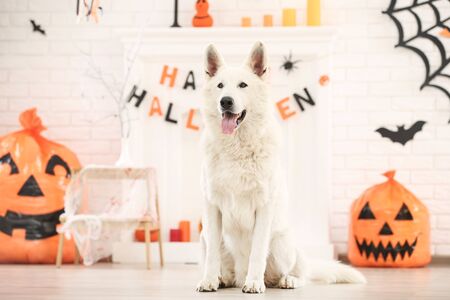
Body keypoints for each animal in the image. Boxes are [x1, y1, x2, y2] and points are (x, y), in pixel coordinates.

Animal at [197, 41, 366, 292]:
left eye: (243, 85)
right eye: (220, 86)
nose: (225, 101)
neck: (237, 148)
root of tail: (239, 274)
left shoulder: (263, 207)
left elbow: (258, 252)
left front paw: (254, 283)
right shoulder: (212, 207)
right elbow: (212, 256)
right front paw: (209, 280)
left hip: (281, 243)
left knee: (297, 272)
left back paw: (285, 280)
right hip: (204, 236)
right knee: (224, 264)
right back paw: (223, 279)